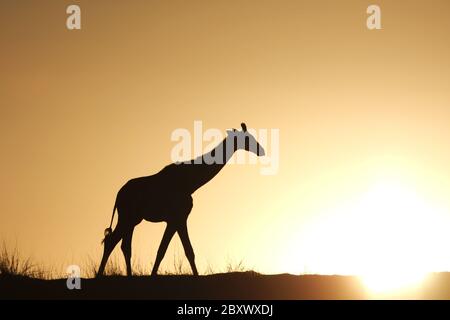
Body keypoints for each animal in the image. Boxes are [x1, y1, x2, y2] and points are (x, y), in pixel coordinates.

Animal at [95, 123, 264, 278]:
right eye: (247, 138)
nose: (261, 150)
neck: (191, 183)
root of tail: (118, 195)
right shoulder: (179, 217)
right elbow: (180, 250)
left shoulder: (175, 219)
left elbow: (171, 250)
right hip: (127, 217)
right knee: (112, 241)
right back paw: (99, 275)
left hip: (133, 219)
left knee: (124, 245)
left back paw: (127, 276)